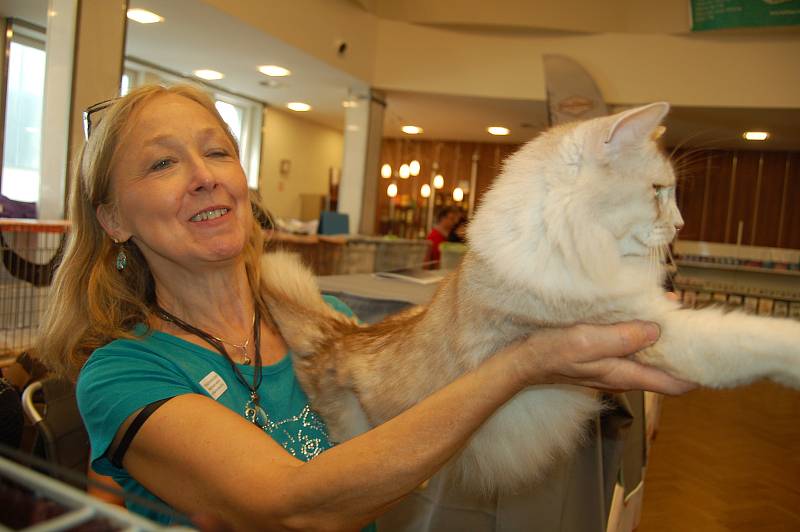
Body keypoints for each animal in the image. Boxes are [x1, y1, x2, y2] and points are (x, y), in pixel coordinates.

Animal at [260, 102, 796, 492]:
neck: (561, 239)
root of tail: (338, 335)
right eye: (659, 191)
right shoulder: (655, 328)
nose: (682, 225)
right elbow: (752, 339)